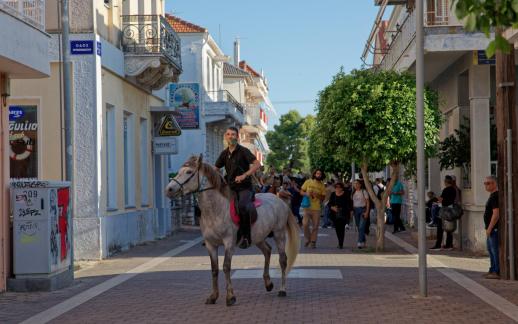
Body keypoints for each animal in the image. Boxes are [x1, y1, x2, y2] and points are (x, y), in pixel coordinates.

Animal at [167, 156, 300, 306]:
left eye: (189, 172)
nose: (169, 189)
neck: (215, 209)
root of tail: (280, 200)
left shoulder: (229, 242)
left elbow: (226, 267)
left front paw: (230, 297)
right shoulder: (210, 244)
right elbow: (214, 269)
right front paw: (213, 296)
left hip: (279, 234)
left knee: (283, 260)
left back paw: (282, 290)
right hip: (258, 237)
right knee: (267, 251)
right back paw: (268, 283)